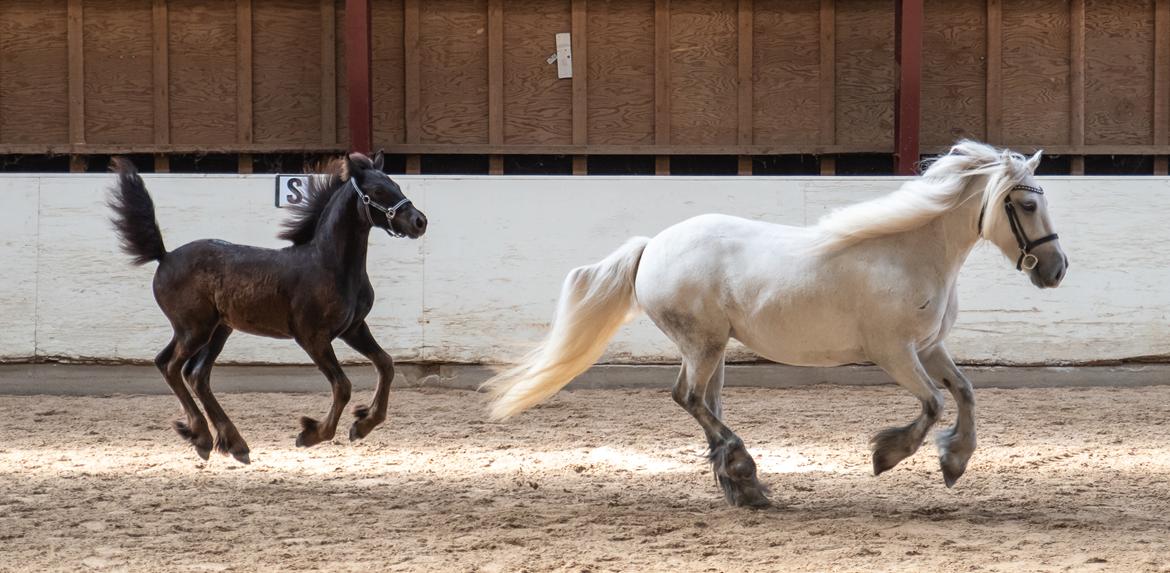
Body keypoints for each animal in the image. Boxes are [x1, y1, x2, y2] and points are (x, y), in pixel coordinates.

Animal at [107, 151, 427, 464]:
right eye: (377, 191)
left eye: (397, 184)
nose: (419, 221)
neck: (330, 265)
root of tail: (164, 256)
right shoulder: (312, 337)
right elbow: (343, 385)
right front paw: (312, 433)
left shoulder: (353, 328)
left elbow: (385, 364)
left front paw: (363, 423)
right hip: (194, 330)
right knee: (171, 365)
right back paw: (203, 437)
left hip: (218, 330)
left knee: (195, 375)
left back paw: (233, 444)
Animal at [485, 140, 1069, 507]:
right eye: (1025, 204)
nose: (1056, 269)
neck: (908, 254)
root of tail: (652, 246)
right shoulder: (895, 353)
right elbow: (933, 404)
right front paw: (886, 455)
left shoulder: (928, 347)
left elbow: (965, 392)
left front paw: (955, 461)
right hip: (702, 342)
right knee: (690, 399)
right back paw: (745, 474)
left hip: (711, 347)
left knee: (703, 402)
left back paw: (741, 486)